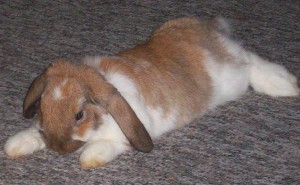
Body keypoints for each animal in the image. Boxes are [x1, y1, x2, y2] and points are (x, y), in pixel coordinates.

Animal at [4, 17, 300, 169]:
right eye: (42, 107)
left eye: (79, 115)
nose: (57, 148)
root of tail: (208, 30)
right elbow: (34, 134)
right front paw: (16, 145)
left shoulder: (128, 132)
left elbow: (109, 146)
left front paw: (90, 158)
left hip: (232, 77)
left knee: (250, 62)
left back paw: (285, 84)